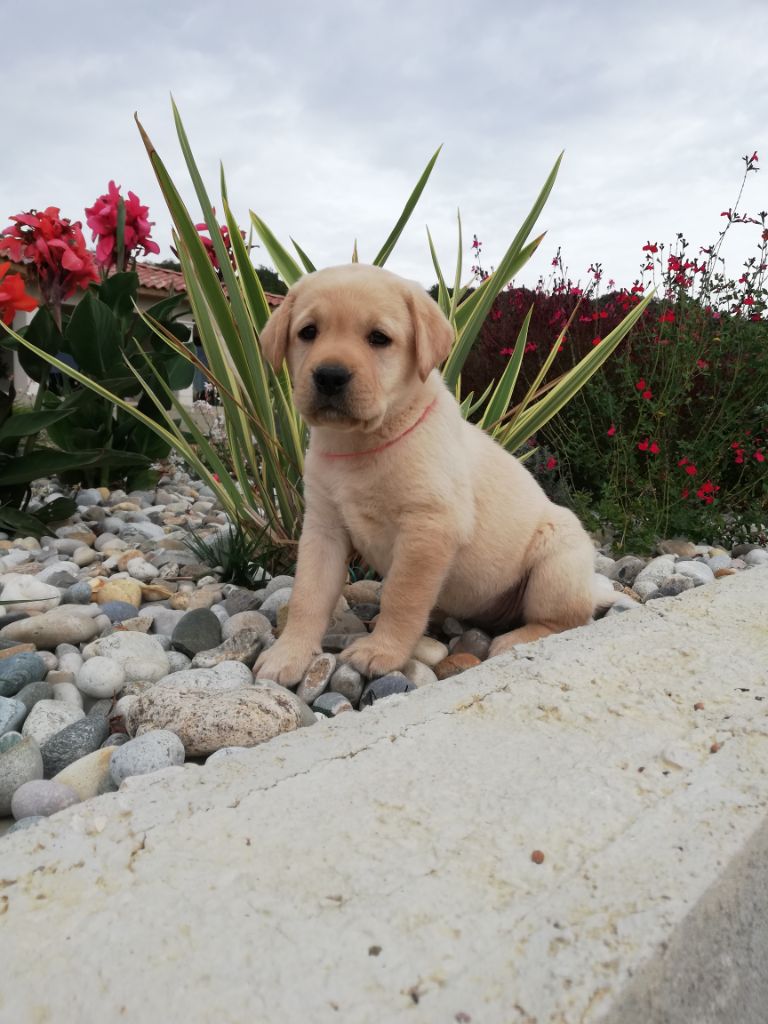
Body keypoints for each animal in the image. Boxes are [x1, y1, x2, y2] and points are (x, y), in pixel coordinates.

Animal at [256, 262, 598, 688]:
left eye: (379, 338)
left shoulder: (429, 526)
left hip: (557, 563)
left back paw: (516, 639)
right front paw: (289, 654)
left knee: (568, 619)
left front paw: (382, 651)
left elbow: (402, 597)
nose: (330, 376)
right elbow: (307, 595)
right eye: (308, 332)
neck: (361, 445)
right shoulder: (323, 528)